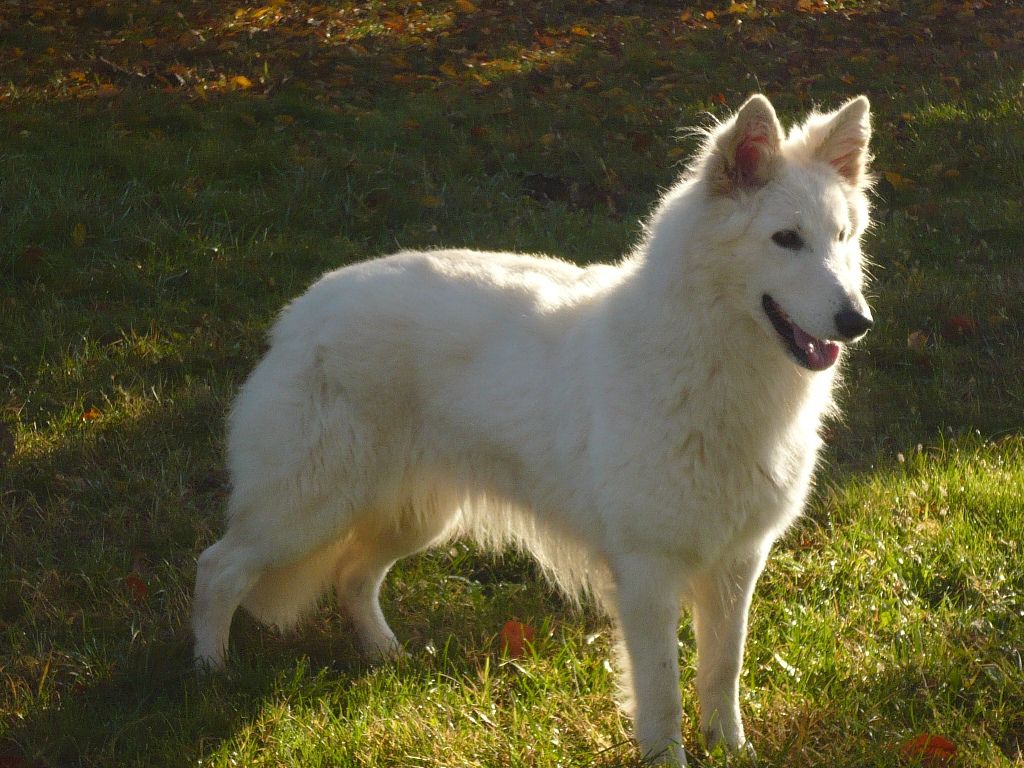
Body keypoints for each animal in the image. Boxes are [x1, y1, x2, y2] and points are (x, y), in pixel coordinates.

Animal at [195, 94, 876, 765]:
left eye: (842, 238)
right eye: (786, 239)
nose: (858, 321)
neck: (713, 361)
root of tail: (302, 311)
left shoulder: (737, 563)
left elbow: (721, 671)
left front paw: (730, 749)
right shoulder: (647, 571)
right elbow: (662, 693)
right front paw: (670, 757)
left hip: (412, 516)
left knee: (352, 576)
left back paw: (384, 655)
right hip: (304, 511)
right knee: (218, 567)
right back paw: (210, 673)